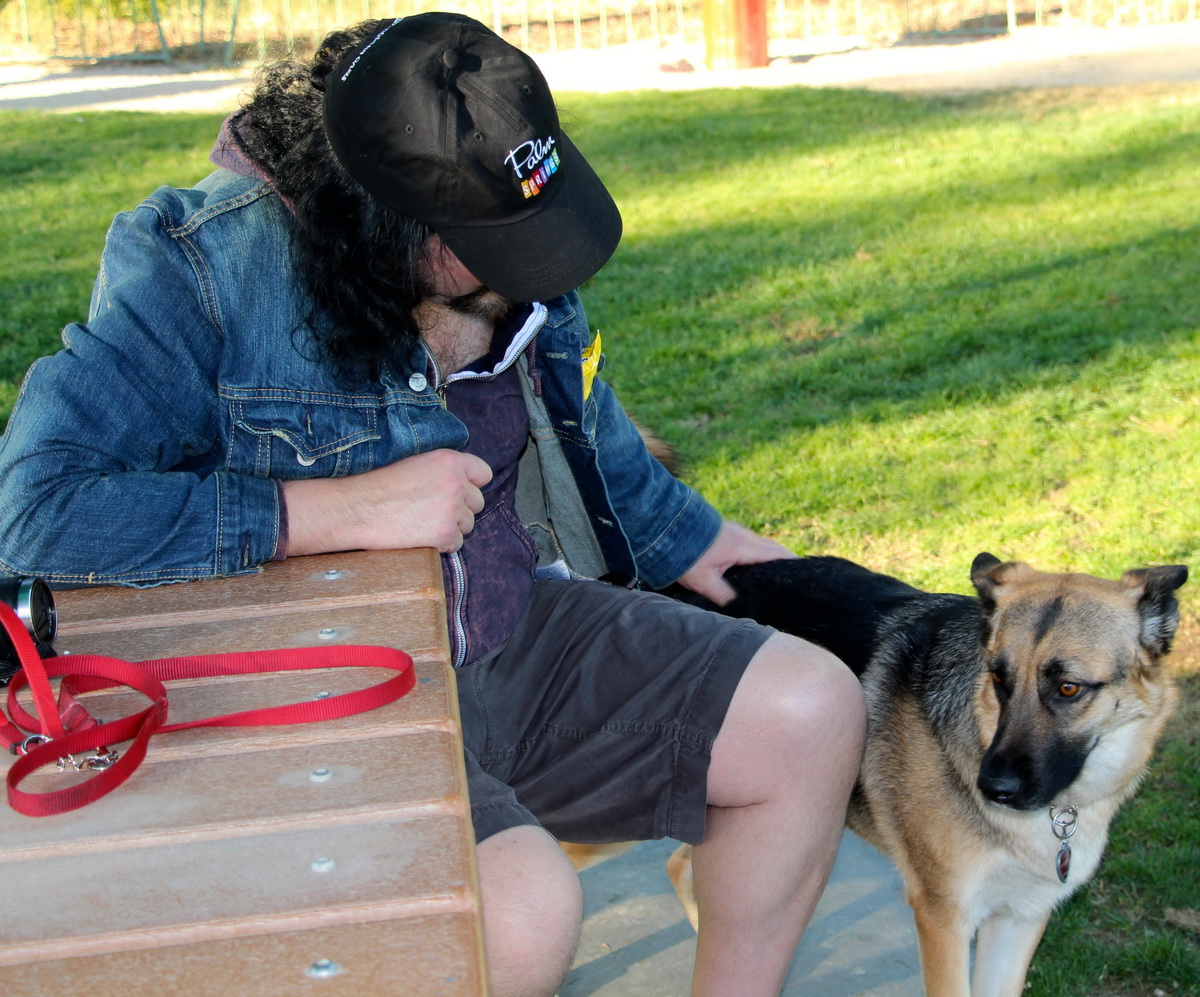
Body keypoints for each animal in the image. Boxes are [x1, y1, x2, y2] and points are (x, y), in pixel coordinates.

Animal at [562, 552, 1187, 997]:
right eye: (999, 679)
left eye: (1069, 689)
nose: (992, 790)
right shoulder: (944, 919)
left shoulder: (1018, 920)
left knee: (684, 868)